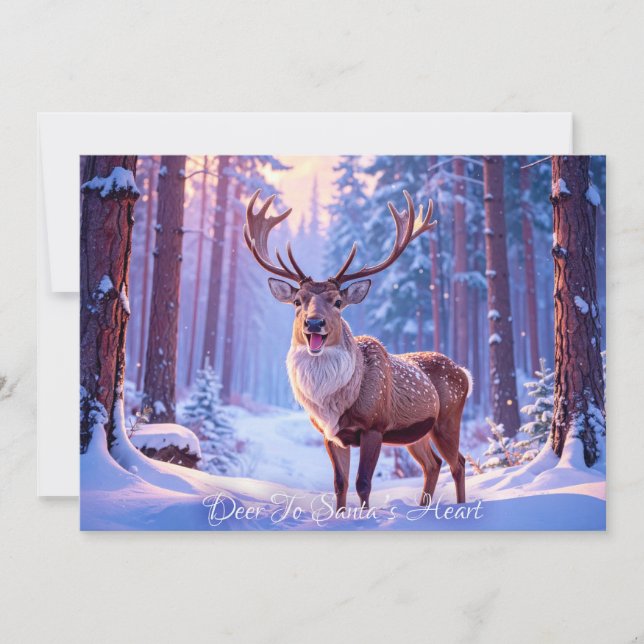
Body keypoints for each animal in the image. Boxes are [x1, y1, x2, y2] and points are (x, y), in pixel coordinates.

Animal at [243, 189, 472, 512]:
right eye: (298, 301)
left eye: (338, 302)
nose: (314, 323)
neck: (333, 404)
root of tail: (465, 373)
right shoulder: (330, 434)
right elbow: (339, 484)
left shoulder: (373, 425)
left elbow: (363, 483)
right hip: (415, 433)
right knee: (433, 464)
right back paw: (423, 507)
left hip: (448, 419)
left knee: (459, 462)